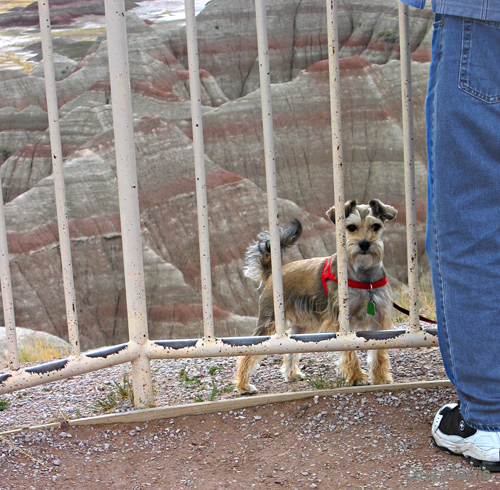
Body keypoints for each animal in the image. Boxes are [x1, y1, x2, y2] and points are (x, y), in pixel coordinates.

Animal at [235, 199, 398, 394]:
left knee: (290, 350)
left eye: (376, 226)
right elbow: (350, 351)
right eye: (351, 227)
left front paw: (381, 377)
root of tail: (271, 274)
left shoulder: (380, 318)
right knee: (247, 354)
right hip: (268, 321)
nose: (365, 244)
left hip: (300, 326)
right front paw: (357, 377)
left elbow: (379, 352)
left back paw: (291, 374)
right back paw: (243, 385)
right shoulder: (342, 320)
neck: (364, 278)